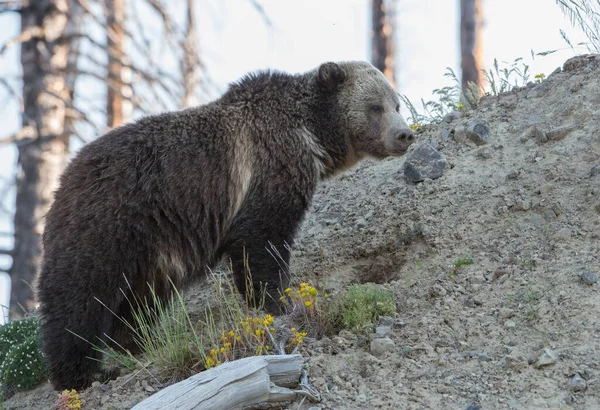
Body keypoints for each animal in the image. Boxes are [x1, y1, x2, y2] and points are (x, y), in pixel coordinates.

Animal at [36, 60, 412, 388]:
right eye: (375, 106)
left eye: (396, 104)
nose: (404, 134)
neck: (311, 135)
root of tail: (64, 178)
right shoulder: (267, 171)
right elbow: (263, 243)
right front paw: (279, 302)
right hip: (107, 221)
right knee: (80, 294)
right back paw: (83, 373)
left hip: (150, 246)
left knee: (140, 299)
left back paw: (140, 342)